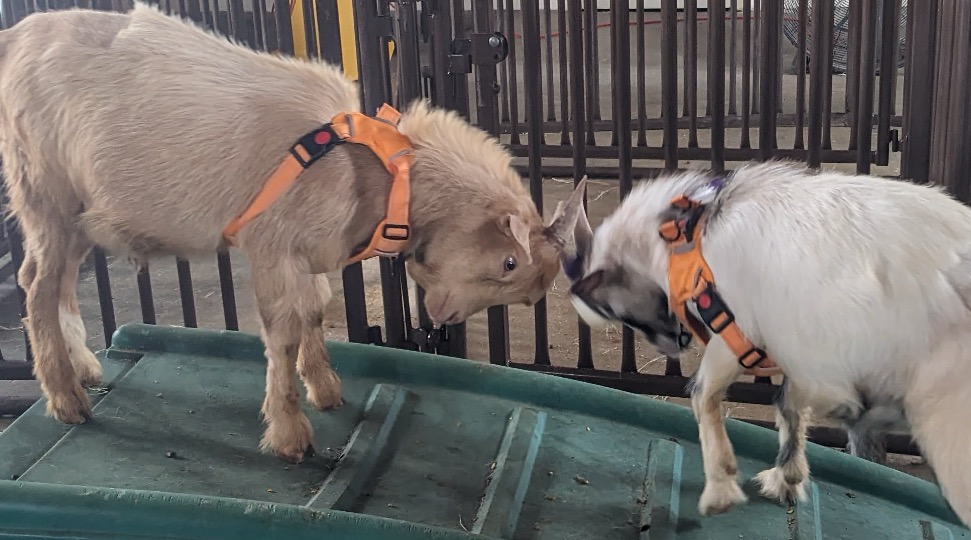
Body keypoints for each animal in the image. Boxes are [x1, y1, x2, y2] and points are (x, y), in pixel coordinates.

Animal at [0, 3, 585, 463]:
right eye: (509, 263)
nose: (444, 317)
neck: (375, 171)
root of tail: (17, 38)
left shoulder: (306, 254)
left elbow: (315, 310)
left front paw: (324, 388)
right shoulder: (272, 246)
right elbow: (282, 330)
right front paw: (289, 432)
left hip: (79, 211)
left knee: (59, 281)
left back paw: (83, 368)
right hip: (43, 191)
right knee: (36, 284)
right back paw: (66, 398)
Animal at [557, 161, 971, 527]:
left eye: (616, 311)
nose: (670, 347)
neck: (693, 235)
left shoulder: (734, 329)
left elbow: (703, 394)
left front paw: (720, 489)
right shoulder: (800, 354)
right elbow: (788, 405)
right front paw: (787, 478)